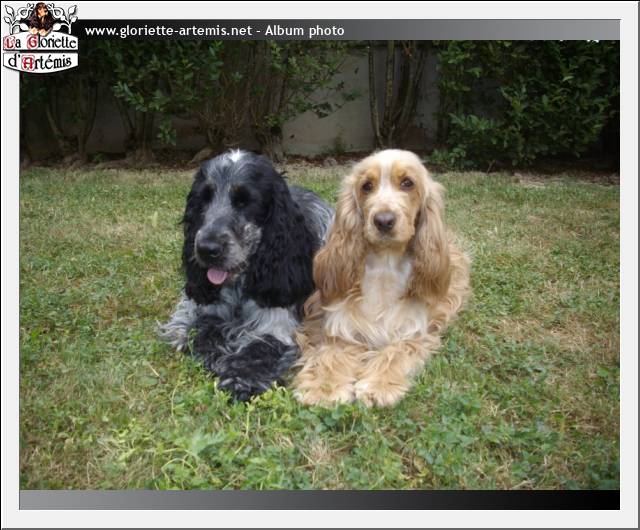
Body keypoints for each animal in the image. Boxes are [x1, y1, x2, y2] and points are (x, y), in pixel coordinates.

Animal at [161, 150, 333, 401]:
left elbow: (257, 351)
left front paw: (240, 382)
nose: (206, 249)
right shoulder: (210, 309)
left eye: (244, 201)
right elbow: (202, 331)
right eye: (204, 199)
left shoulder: (278, 326)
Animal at [292, 149, 470, 407]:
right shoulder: (338, 326)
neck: (385, 266)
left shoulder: (413, 333)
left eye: (408, 183)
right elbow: (329, 354)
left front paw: (378, 385)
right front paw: (323, 388)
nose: (384, 220)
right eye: (367, 186)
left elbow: (395, 353)